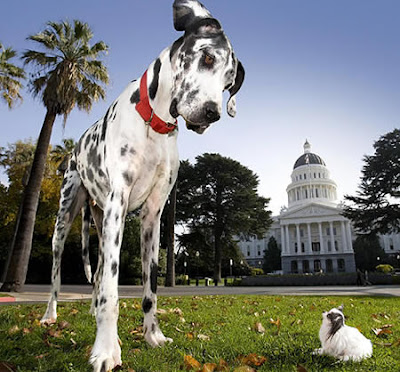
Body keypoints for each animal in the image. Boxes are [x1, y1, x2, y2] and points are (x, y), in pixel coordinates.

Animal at [42, 1, 245, 370]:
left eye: (228, 82)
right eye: (207, 58)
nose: (212, 113)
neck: (155, 123)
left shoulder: (153, 215)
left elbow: (150, 287)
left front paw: (153, 336)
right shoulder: (118, 204)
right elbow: (111, 290)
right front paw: (106, 350)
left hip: (100, 222)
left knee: (97, 276)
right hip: (65, 221)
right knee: (58, 273)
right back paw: (50, 315)